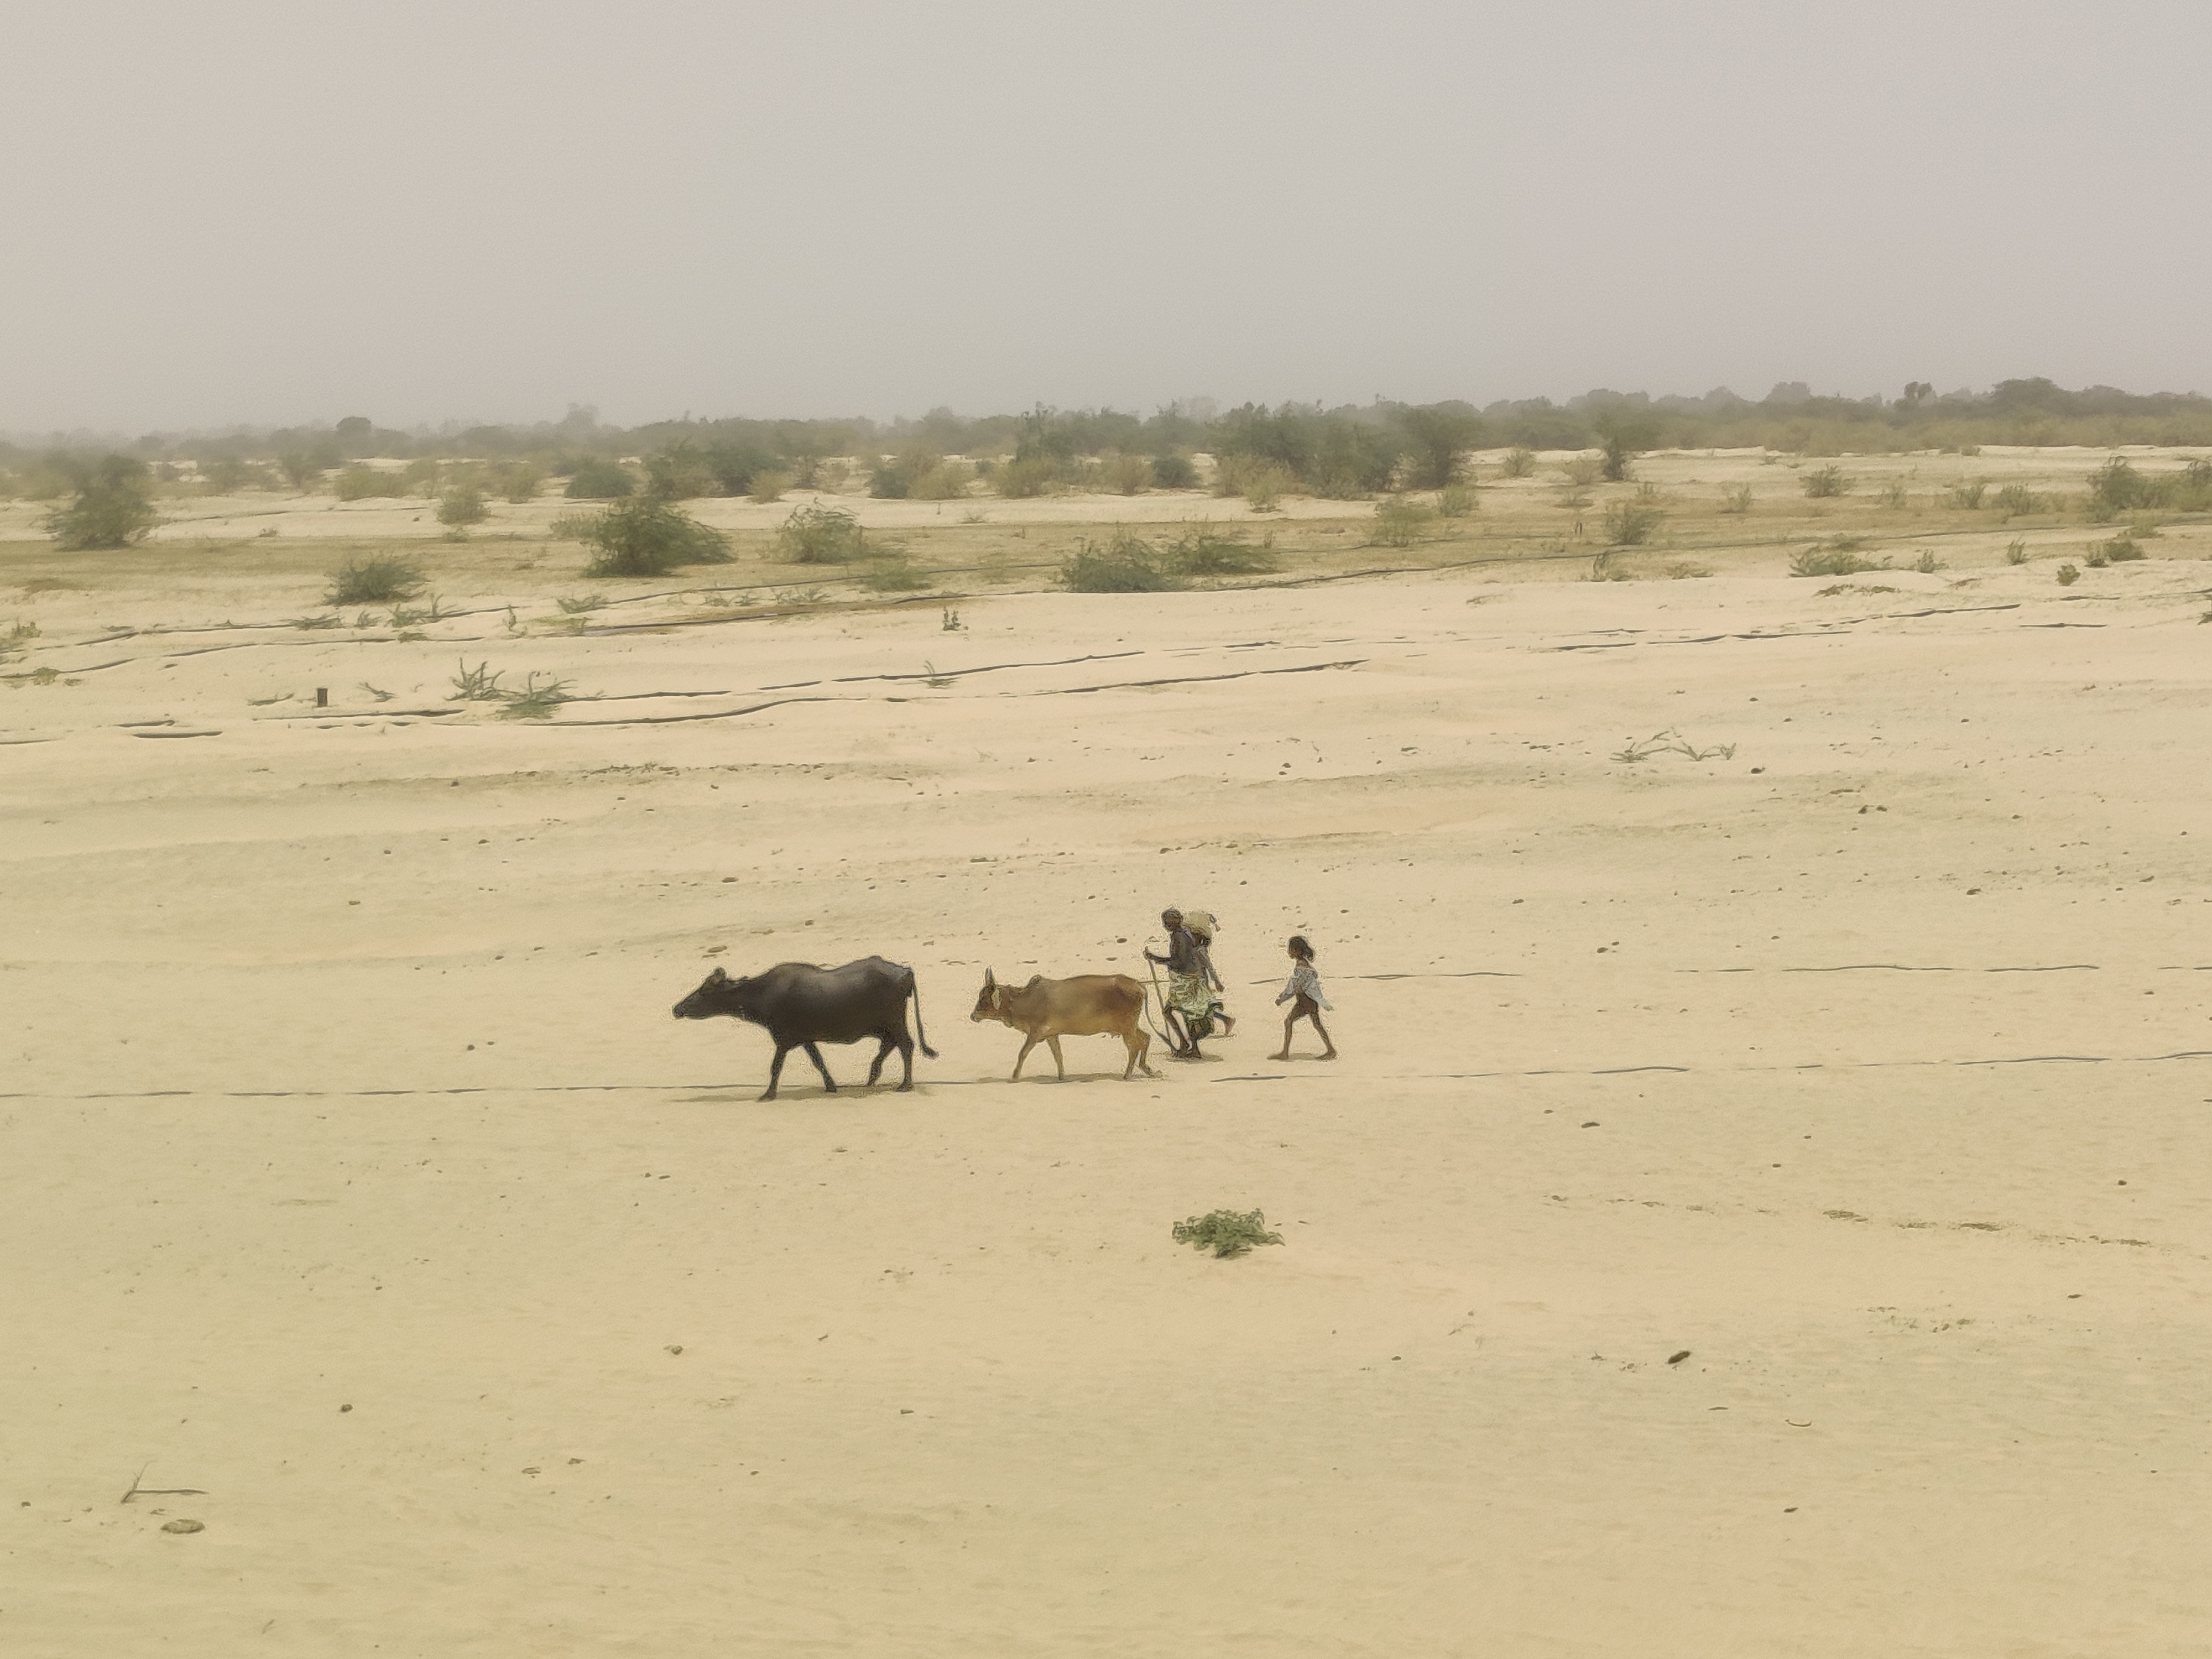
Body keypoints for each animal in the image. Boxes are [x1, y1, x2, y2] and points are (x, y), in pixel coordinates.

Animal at [673, 957, 936, 1100]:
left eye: (705, 991)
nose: (678, 1009)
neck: (763, 994)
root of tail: (905, 971)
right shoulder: (805, 1039)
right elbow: (819, 1062)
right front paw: (831, 1086)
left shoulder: (784, 1040)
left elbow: (776, 1067)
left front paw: (768, 1094)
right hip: (885, 1025)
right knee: (890, 1045)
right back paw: (872, 1077)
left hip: (894, 1022)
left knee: (906, 1045)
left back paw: (905, 1084)